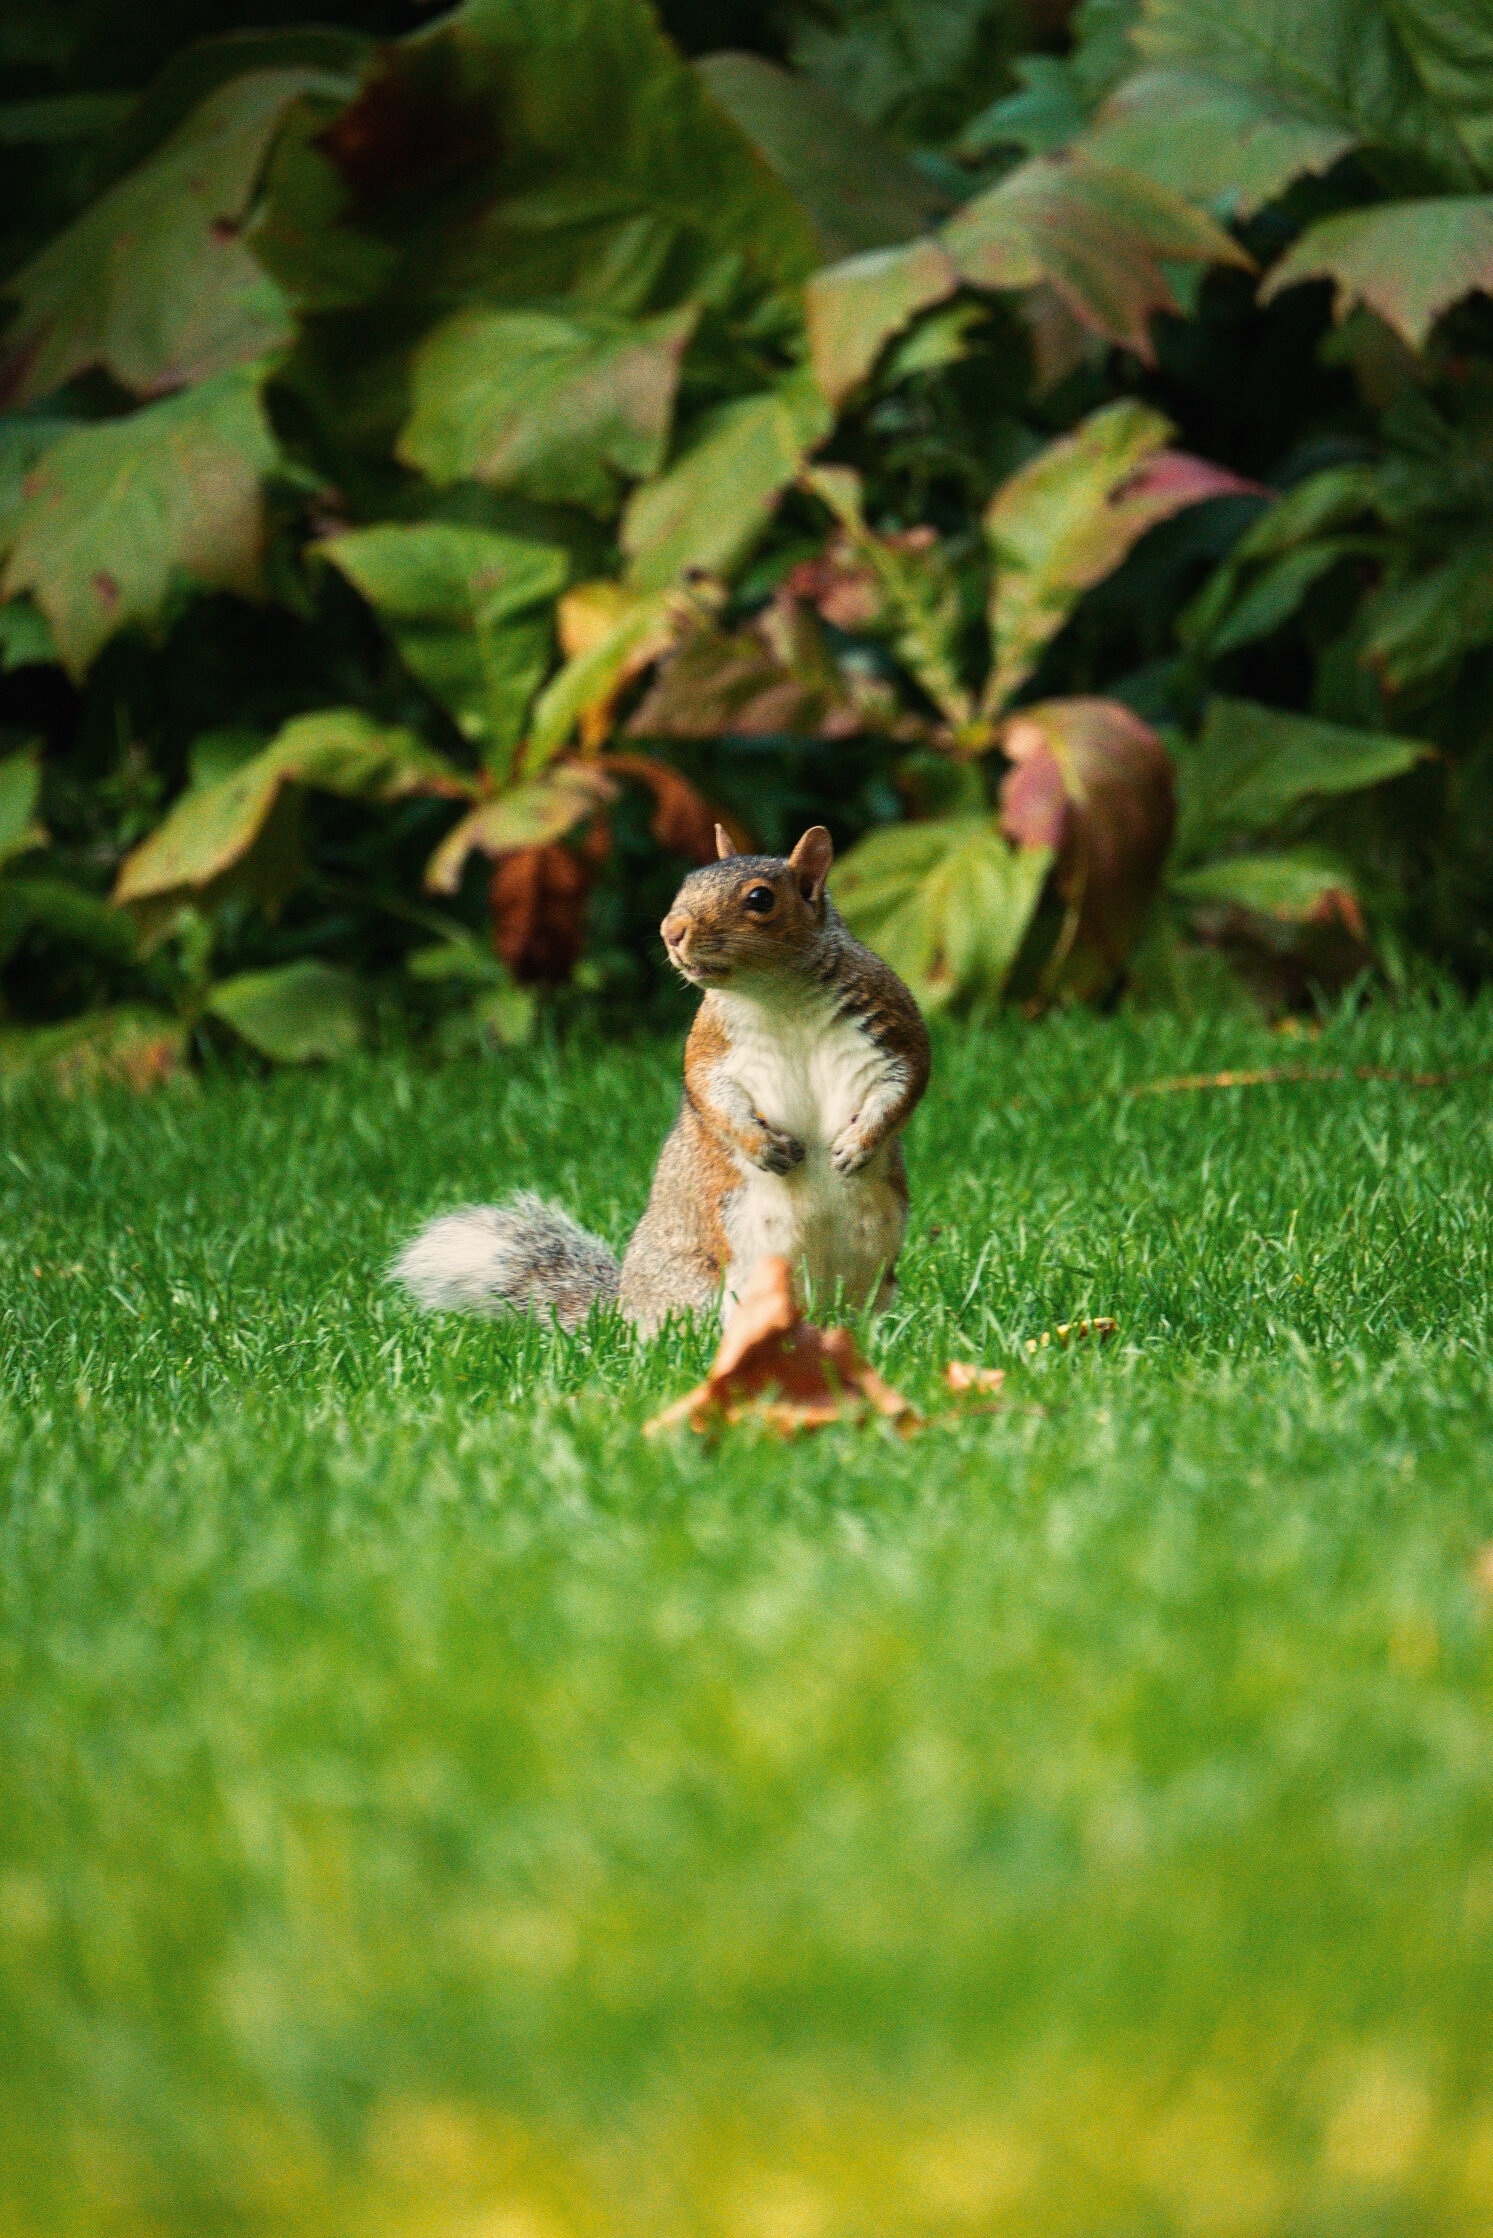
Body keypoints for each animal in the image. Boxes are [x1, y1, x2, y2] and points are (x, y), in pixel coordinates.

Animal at [396, 832, 935, 1333]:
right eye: (687, 882)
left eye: (761, 899)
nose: (671, 931)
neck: (778, 996)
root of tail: (625, 1310)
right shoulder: (710, 1048)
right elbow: (712, 1098)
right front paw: (762, 1147)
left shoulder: (891, 1027)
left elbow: (904, 1085)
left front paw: (857, 1145)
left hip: (877, 1285)